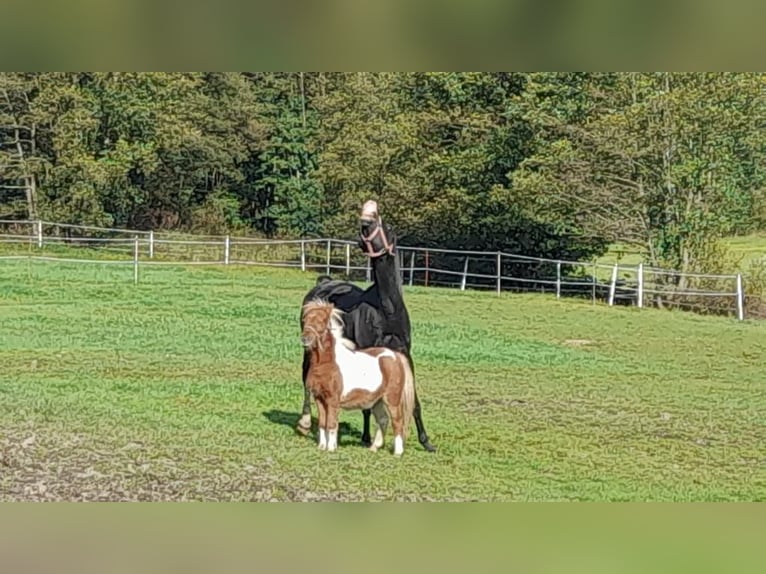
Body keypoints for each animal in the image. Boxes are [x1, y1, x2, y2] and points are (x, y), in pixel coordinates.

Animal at [302, 300, 416, 456]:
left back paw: (397, 452)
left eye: (321, 321)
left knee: (397, 421)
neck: (329, 364)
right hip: (377, 401)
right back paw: (374, 447)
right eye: (305, 320)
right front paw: (321, 446)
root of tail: (396, 356)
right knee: (383, 419)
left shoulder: (332, 400)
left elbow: (331, 423)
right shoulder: (319, 398)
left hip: (392, 399)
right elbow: (322, 423)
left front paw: (331, 448)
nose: (305, 339)